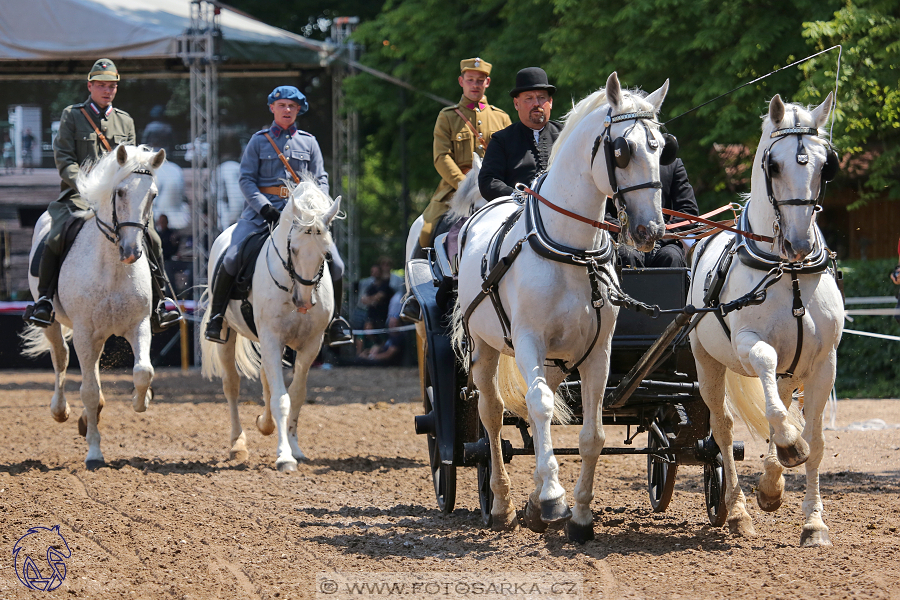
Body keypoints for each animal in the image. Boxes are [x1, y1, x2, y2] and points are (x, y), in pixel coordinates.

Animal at [22, 144, 167, 468]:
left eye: (153, 194)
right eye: (121, 192)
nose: (131, 252)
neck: (112, 267)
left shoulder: (139, 325)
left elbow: (143, 372)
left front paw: (141, 401)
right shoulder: (84, 332)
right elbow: (87, 390)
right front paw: (94, 453)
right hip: (55, 324)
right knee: (61, 358)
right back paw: (60, 410)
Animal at [200, 180, 342, 472]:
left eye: (326, 253)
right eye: (294, 249)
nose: (304, 301)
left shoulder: (310, 345)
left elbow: (296, 394)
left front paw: (294, 447)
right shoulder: (271, 338)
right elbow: (280, 398)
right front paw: (285, 456)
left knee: (266, 378)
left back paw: (265, 424)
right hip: (228, 334)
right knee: (231, 386)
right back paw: (237, 445)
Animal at [454, 72, 672, 540]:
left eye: (660, 147)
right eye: (622, 149)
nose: (650, 231)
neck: (573, 251)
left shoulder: (598, 353)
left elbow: (592, 435)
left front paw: (580, 515)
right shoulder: (529, 342)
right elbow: (534, 407)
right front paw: (554, 499)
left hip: (557, 359)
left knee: (545, 406)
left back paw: (533, 502)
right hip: (486, 349)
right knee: (493, 414)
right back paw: (503, 504)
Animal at [688, 91, 844, 548]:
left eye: (826, 164)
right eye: (773, 165)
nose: (799, 242)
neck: (787, 272)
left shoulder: (824, 361)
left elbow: (816, 439)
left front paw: (813, 522)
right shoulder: (749, 344)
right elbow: (767, 368)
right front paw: (791, 448)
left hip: (794, 373)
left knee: (780, 404)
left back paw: (771, 485)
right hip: (706, 361)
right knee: (722, 429)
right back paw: (738, 511)